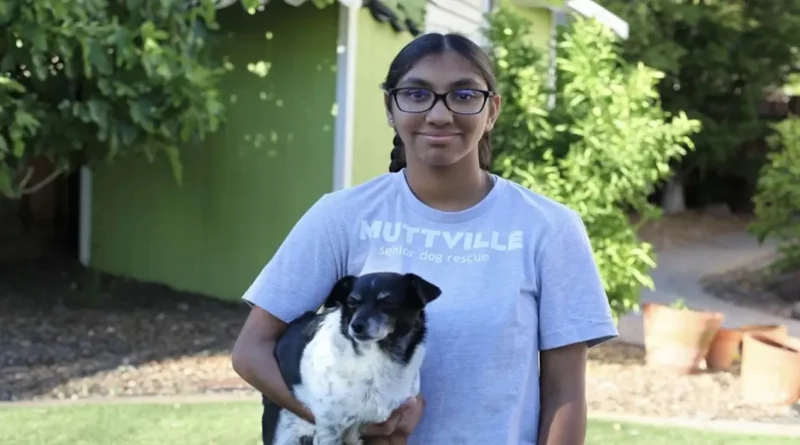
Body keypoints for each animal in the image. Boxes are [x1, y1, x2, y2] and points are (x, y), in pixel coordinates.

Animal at [262, 270, 440, 444]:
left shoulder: (391, 428)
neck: (376, 359)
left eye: (388, 302)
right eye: (352, 302)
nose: (356, 326)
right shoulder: (329, 428)